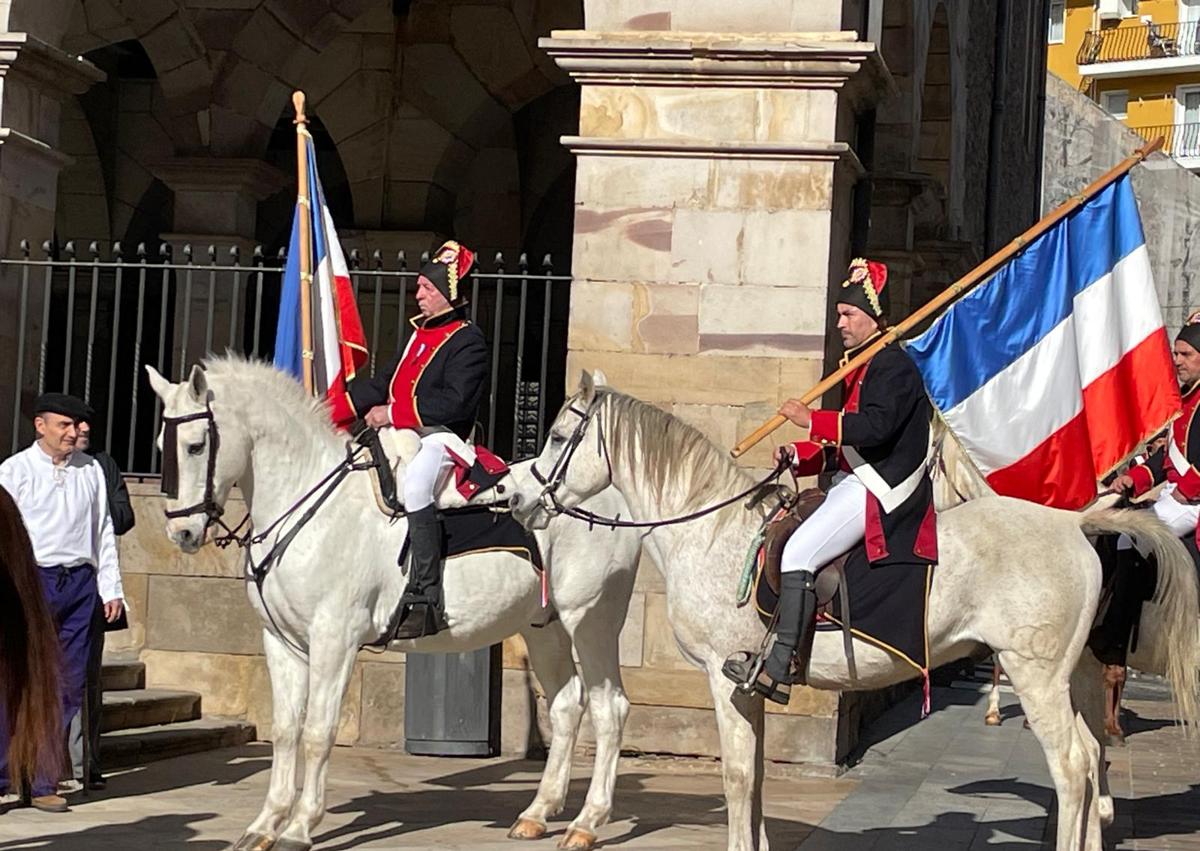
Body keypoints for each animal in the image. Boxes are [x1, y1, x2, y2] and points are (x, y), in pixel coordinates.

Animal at [147, 357, 648, 849]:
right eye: (160, 444)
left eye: (195, 446)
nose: (181, 532)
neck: (309, 507)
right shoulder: (281, 641)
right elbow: (286, 731)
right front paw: (265, 824)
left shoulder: (334, 640)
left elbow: (317, 732)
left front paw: (299, 827)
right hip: (544, 626)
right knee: (566, 706)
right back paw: (537, 813)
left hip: (591, 623)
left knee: (609, 709)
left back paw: (587, 822)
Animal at [508, 374, 1200, 849]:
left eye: (560, 436)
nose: (517, 498)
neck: (711, 530)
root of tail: (1075, 524)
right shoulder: (750, 689)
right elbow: (756, 778)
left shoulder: (724, 680)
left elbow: (737, 776)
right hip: (1069, 675)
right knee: (1093, 760)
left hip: (1035, 674)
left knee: (1073, 768)